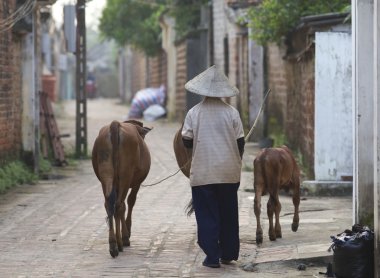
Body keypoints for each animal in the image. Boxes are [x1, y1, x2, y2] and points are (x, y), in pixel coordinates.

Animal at [92, 120, 151, 258]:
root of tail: (116, 124)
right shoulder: (136, 183)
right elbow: (130, 202)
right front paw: (126, 234)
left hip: (106, 173)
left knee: (109, 204)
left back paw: (113, 244)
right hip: (126, 175)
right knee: (119, 205)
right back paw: (119, 243)